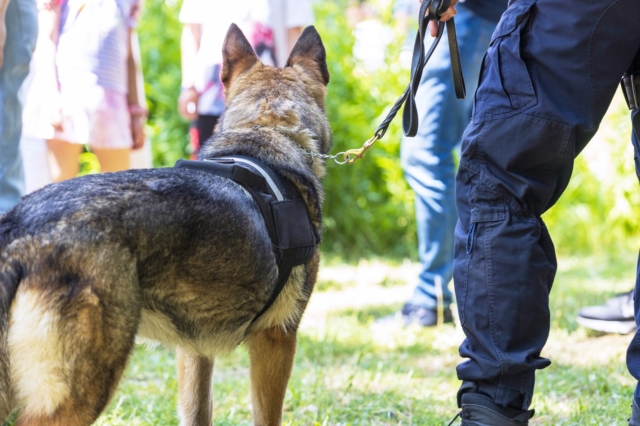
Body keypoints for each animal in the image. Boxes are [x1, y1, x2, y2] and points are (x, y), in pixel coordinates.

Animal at [0, 24, 330, 426]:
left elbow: (197, 412)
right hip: (83, 391)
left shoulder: (194, 349)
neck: (266, 134)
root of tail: (18, 227)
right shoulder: (277, 337)